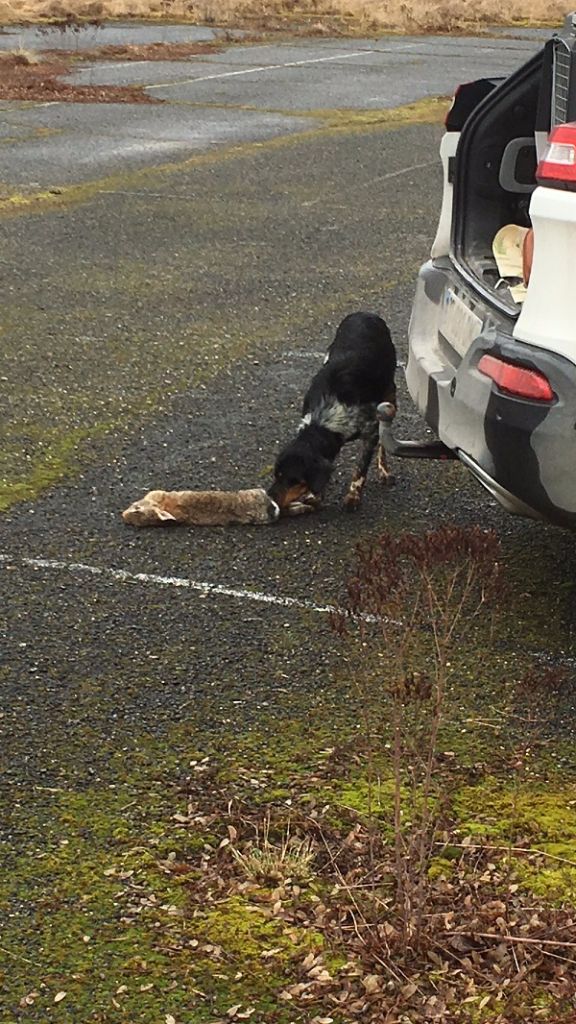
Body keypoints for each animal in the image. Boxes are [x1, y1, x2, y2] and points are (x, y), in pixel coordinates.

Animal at [268, 307, 393, 512]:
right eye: (277, 475)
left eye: (294, 481)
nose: (269, 499)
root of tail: (365, 313)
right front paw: (315, 496)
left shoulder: (371, 430)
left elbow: (361, 468)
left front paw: (353, 496)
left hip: (390, 394)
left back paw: (384, 471)